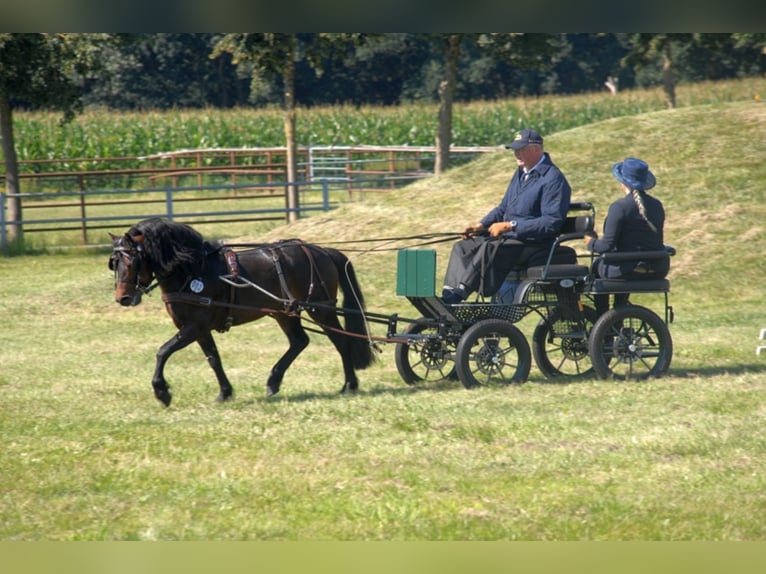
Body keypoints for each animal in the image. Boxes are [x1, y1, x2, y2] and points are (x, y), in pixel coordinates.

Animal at [108, 217, 376, 406]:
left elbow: (163, 351)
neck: (193, 271)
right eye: (114, 263)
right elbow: (213, 359)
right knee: (300, 341)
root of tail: (321, 250)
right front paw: (225, 393)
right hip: (284, 312)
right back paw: (273, 381)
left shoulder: (194, 326)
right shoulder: (198, 329)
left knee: (341, 341)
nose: (122, 298)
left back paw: (349, 385)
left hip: (321, 309)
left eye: (132, 261)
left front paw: (162, 392)